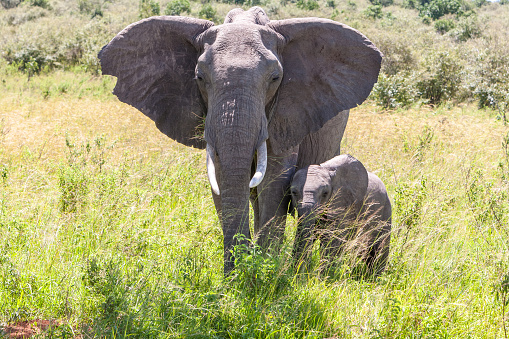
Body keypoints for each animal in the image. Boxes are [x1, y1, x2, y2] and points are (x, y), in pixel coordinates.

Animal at [98, 5, 380, 276]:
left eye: (275, 78)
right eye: (200, 77)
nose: (237, 271)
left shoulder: (287, 113)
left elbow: (273, 182)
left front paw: (263, 273)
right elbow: (222, 179)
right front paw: (237, 277)